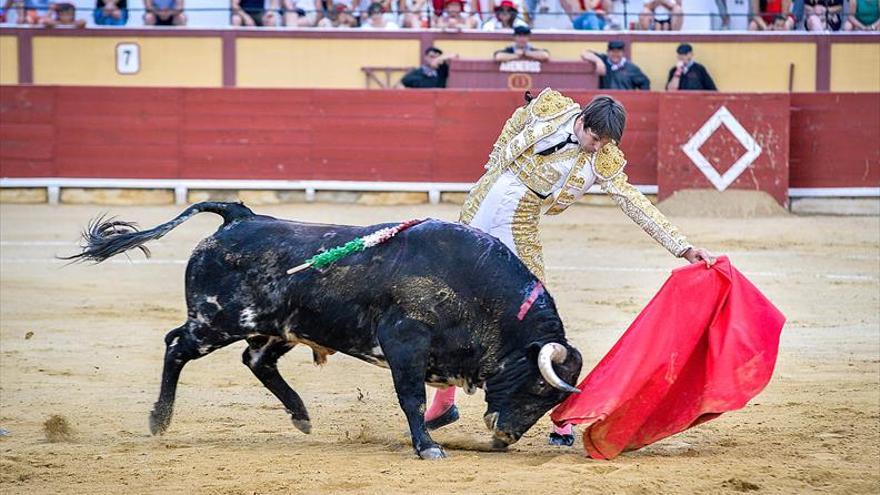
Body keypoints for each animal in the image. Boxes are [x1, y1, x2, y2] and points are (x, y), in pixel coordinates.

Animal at [65, 202, 580, 462]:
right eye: (539, 388)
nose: (505, 437)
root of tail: (239, 217)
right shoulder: (404, 345)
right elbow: (412, 398)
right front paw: (428, 447)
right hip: (218, 322)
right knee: (176, 346)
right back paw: (159, 419)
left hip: (276, 327)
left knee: (256, 361)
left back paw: (301, 415)